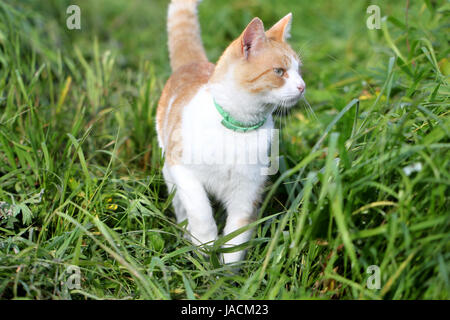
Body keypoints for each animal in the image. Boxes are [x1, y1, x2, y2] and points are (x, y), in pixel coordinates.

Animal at [156, 0, 306, 264]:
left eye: (299, 71)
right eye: (279, 71)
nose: (302, 86)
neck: (239, 128)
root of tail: (192, 64)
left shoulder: (247, 193)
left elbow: (236, 240)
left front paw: (225, 273)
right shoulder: (183, 170)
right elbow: (201, 210)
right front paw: (204, 246)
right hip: (169, 171)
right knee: (180, 204)